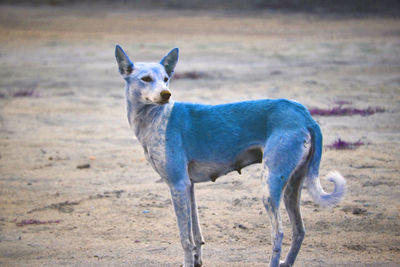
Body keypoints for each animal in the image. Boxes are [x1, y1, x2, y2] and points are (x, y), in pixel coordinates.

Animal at [114, 45, 346, 266]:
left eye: (165, 79)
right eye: (146, 79)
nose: (166, 94)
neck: (157, 118)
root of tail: (305, 115)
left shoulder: (177, 185)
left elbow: (185, 238)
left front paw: (188, 262)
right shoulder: (188, 187)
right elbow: (196, 234)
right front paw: (197, 260)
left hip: (269, 185)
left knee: (278, 233)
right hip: (292, 186)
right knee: (299, 230)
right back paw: (286, 262)